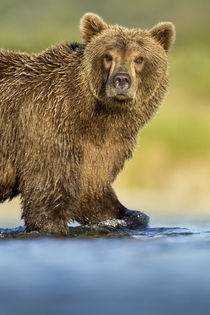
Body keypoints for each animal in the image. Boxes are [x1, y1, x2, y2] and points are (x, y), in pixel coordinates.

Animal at [0, 13, 176, 233]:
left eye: (139, 58)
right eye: (108, 56)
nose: (121, 80)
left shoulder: (101, 148)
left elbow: (93, 194)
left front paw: (128, 217)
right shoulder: (46, 130)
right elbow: (48, 198)